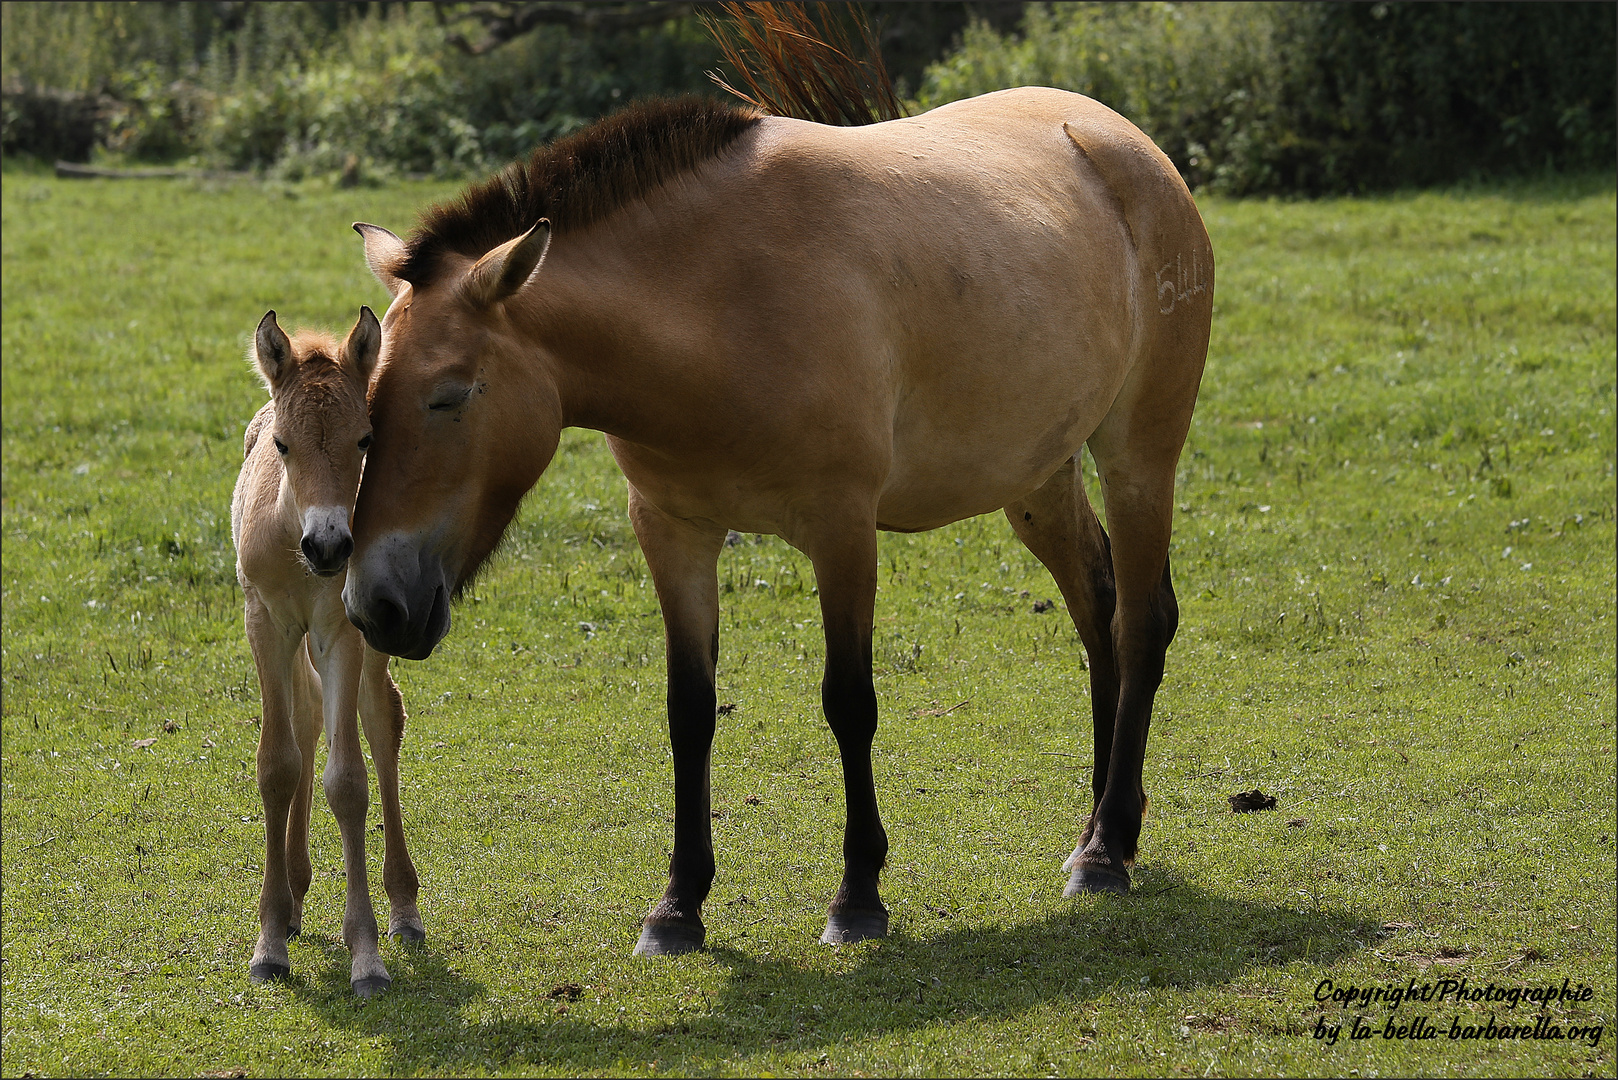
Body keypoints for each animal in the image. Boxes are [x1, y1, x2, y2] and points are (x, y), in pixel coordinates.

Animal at [234, 306, 427, 997]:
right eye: (282, 444)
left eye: (365, 440)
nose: (328, 546)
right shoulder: (266, 622)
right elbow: (278, 764)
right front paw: (268, 943)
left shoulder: (342, 631)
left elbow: (347, 780)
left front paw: (366, 955)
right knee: (309, 715)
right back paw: (293, 898)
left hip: (366, 632)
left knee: (381, 716)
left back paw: (404, 909)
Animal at [351, 90, 1216, 952]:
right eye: (367, 407)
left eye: (450, 396)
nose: (376, 605)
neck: (719, 302)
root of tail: (1123, 140)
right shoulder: (673, 531)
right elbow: (690, 710)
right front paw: (678, 905)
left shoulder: (843, 530)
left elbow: (850, 703)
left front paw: (858, 895)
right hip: (1037, 475)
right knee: (1097, 610)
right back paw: (1101, 829)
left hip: (1138, 456)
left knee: (1141, 622)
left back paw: (1105, 853)